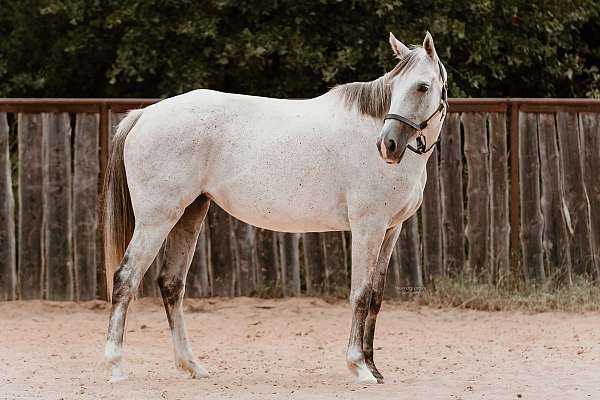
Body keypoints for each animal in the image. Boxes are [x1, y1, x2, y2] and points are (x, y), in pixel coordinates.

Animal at [105, 32, 448, 384]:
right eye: (395, 87)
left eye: (422, 87)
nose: (387, 145)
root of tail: (145, 114)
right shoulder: (369, 226)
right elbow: (361, 294)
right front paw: (359, 367)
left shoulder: (391, 228)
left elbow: (376, 296)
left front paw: (374, 368)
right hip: (156, 219)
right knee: (126, 278)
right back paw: (116, 366)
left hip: (188, 215)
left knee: (172, 284)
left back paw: (192, 365)